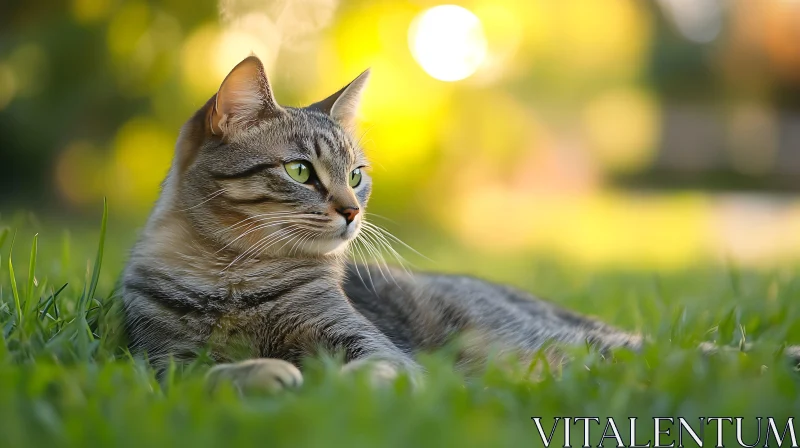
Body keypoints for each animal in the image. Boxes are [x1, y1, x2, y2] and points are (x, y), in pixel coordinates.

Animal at [120, 55, 800, 392]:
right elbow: (207, 376)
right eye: (299, 170)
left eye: (357, 175)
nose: (352, 210)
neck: (232, 278)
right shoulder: (155, 359)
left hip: (579, 344)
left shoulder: (367, 342)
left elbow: (374, 369)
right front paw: (263, 373)